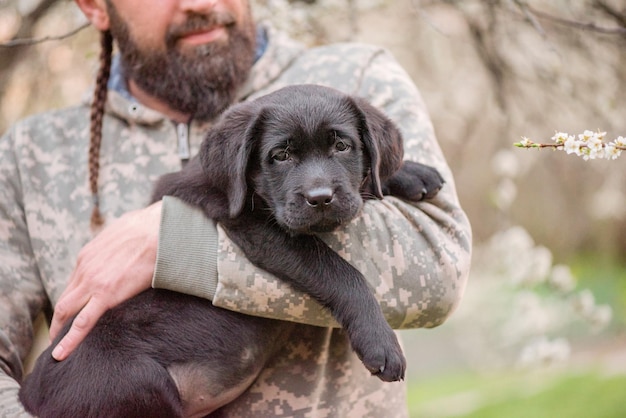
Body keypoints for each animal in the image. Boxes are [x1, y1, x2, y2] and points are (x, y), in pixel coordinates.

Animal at [20, 85, 444, 418]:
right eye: (280, 156)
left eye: (341, 146)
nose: (320, 198)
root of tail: (29, 395)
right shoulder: (259, 231)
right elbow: (340, 272)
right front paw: (380, 343)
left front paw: (410, 171)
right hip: (134, 378)